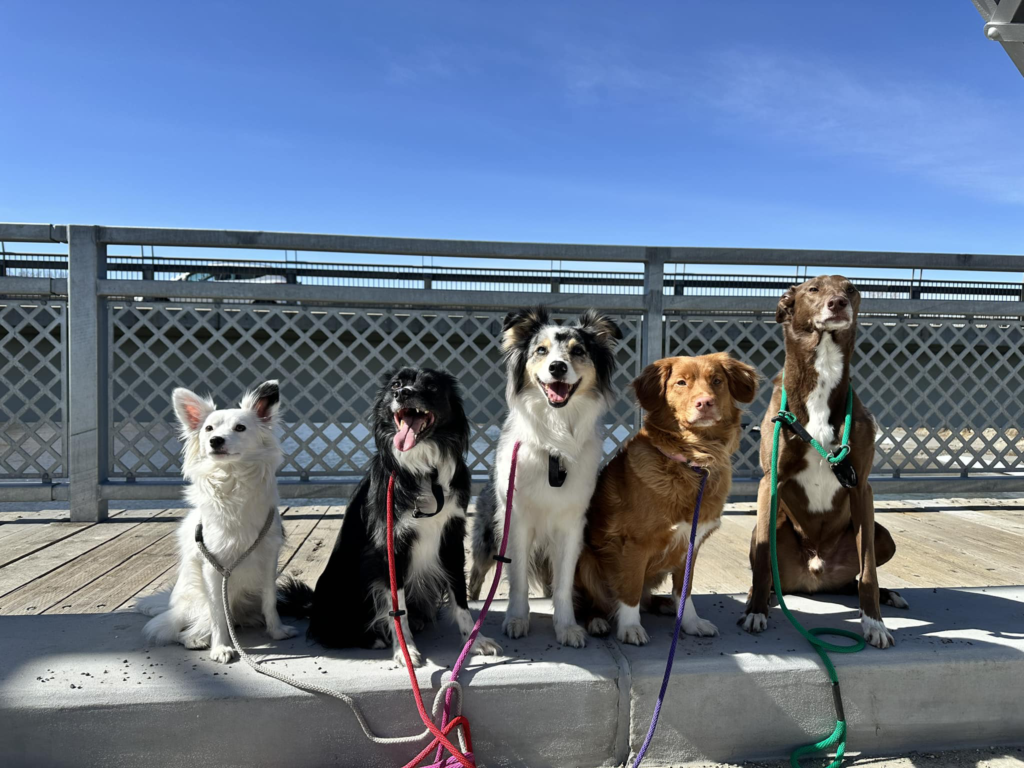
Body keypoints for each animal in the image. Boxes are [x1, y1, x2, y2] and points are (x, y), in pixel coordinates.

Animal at [138, 382, 296, 663]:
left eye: (240, 428)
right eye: (208, 429)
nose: (215, 440)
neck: (232, 477)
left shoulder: (268, 559)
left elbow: (269, 600)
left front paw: (276, 632)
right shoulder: (213, 567)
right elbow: (217, 613)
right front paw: (221, 647)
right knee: (180, 630)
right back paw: (197, 640)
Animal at [280, 366, 503, 667]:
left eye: (431, 386)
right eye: (396, 385)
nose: (403, 394)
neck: (424, 470)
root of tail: (313, 604)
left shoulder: (452, 537)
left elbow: (459, 595)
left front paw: (473, 641)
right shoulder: (390, 547)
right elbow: (398, 608)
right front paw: (405, 650)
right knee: (327, 631)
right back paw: (371, 638)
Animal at [468, 309, 618, 647]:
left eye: (578, 351)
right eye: (541, 350)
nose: (557, 367)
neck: (555, 436)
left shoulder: (572, 525)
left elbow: (563, 584)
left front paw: (566, 626)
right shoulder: (517, 520)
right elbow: (518, 578)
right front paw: (516, 619)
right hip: (488, 533)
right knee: (478, 572)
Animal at [577, 354, 761, 643]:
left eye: (717, 381)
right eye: (681, 383)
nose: (705, 403)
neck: (693, 460)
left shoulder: (691, 545)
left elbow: (684, 589)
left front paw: (690, 622)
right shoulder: (634, 543)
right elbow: (629, 590)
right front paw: (630, 627)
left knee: (645, 598)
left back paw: (663, 605)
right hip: (585, 559)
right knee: (592, 601)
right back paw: (597, 620)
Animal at [745, 276, 905, 651]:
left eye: (852, 289)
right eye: (813, 290)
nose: (838, 304)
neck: (823, 370)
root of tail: (811, 580)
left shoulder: (861, 486)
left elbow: (869, 572)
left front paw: (874, 623)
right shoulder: (769, 482)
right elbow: (763, 564)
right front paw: (755, 612)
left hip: (882, 536)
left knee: (856, 577)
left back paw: (887, 596)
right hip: (768, 528)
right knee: (766, 566)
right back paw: (762, 597)